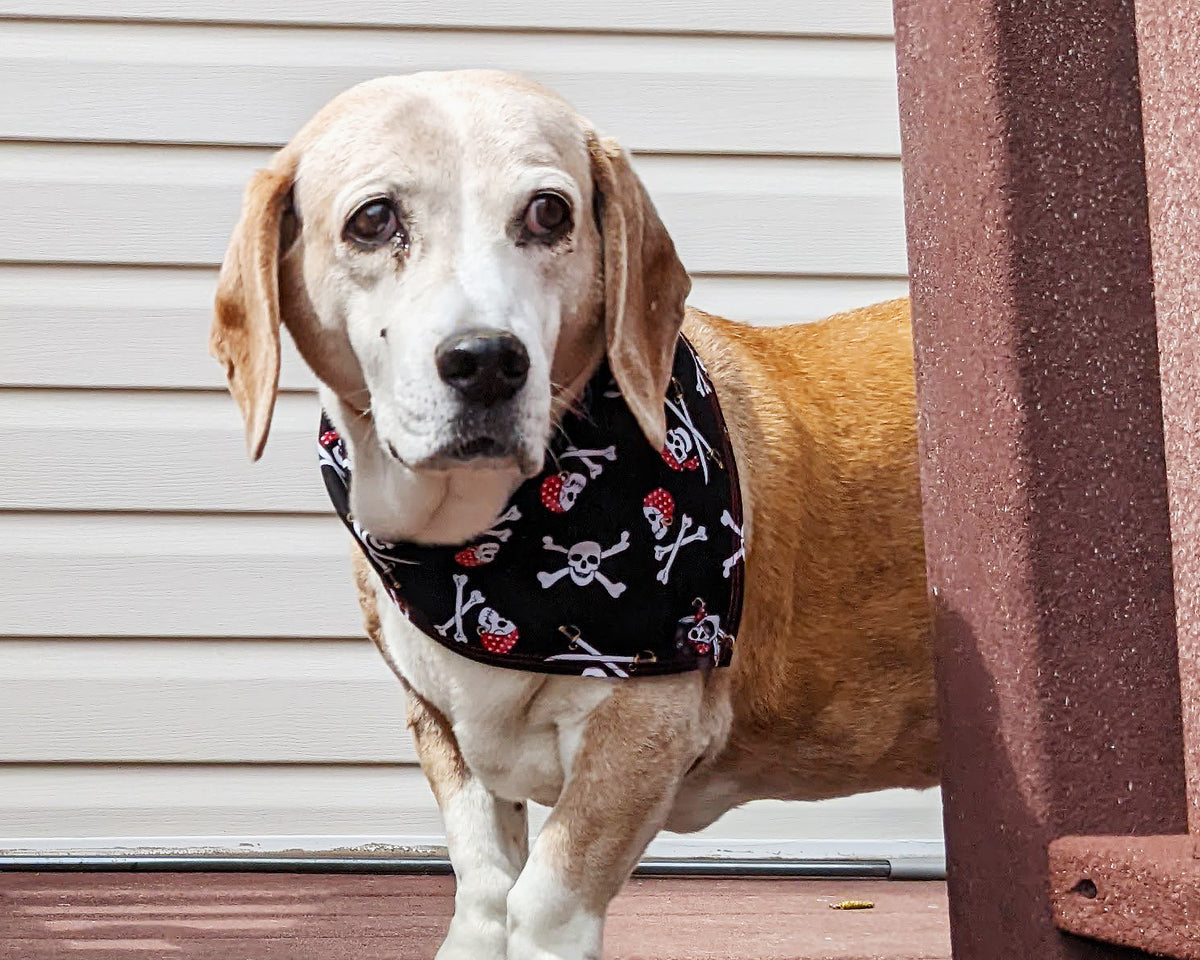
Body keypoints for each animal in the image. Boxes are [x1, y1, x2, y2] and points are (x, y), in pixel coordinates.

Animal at [211, 69, 931, 960]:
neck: (478, 550)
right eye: (373, 219)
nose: (487, 360)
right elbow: (486, 894)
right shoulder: (442, 732)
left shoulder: (637, 738)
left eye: (549, 212)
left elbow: (543, 904)